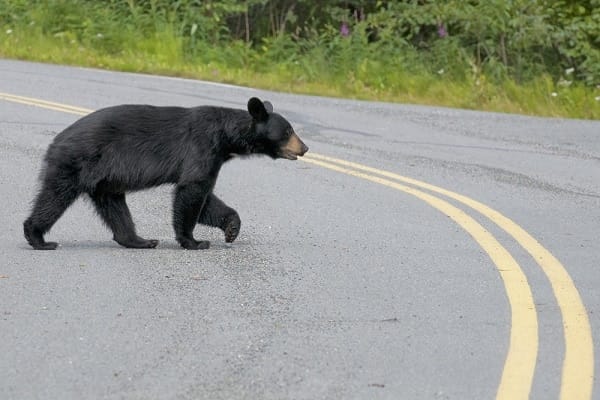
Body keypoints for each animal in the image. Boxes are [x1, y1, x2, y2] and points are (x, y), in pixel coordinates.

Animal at [22, 97, 310, 250]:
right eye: (288, 131)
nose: (305, 147)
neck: (225, 137)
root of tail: (56, 141)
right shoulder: (202, 148)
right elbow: (192, 190)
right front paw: (194, 241)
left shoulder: (213, 156)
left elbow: (206, 199)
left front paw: (231, 228)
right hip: (75, 164)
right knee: (54, 198)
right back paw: (38, 238)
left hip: (104, 179)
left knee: (114, 207)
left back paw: (140, 240)